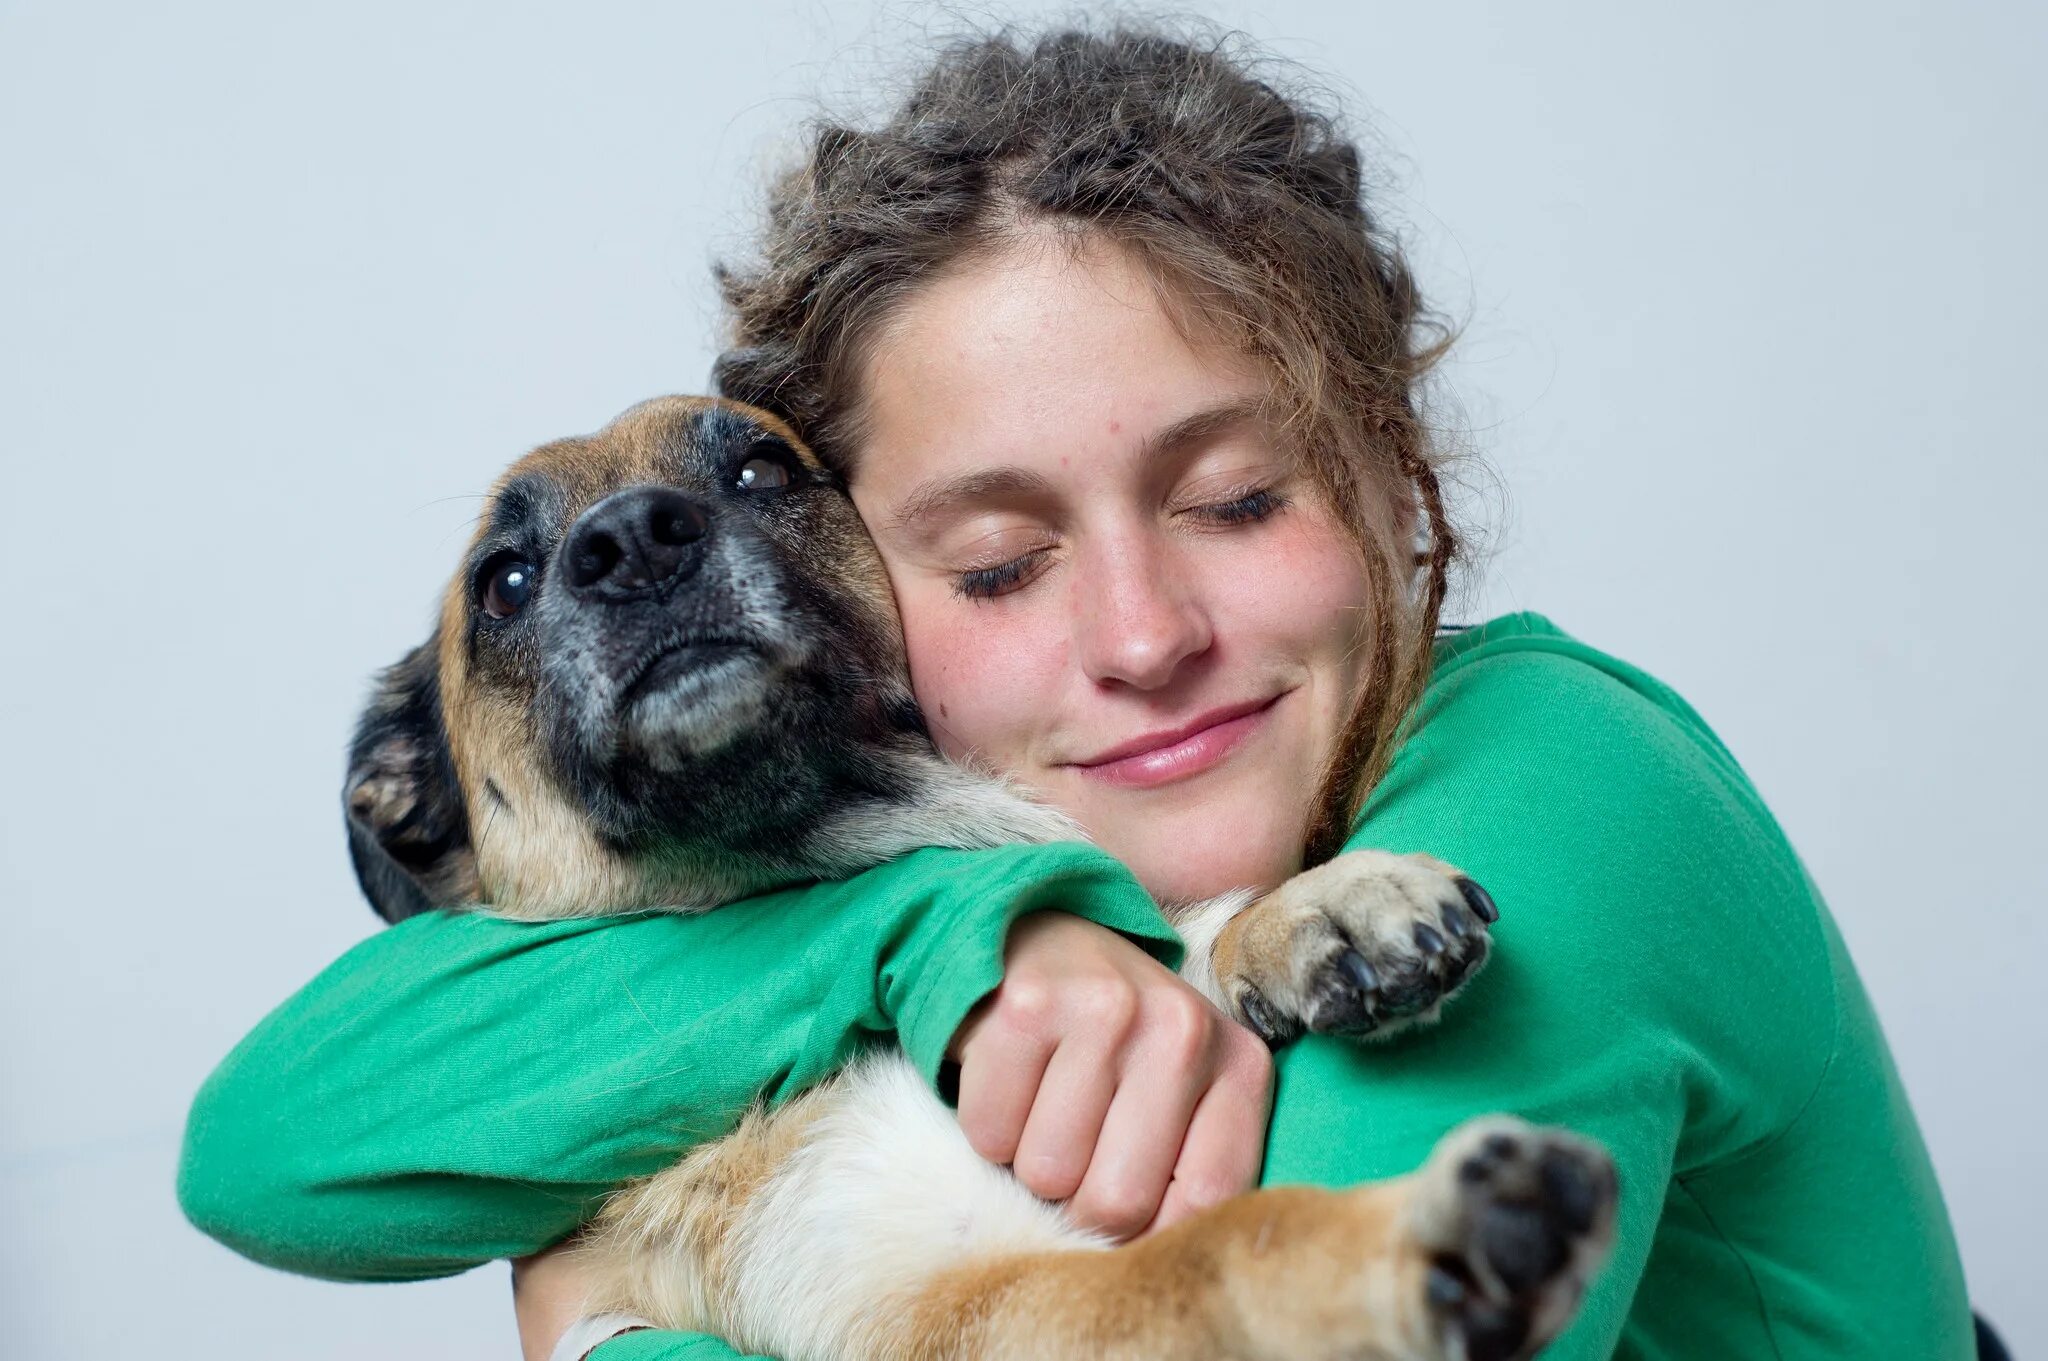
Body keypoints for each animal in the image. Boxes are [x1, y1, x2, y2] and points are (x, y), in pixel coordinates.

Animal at [339, 394, 1613, 1358]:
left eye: (760, 465)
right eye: (504, 581)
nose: (640, 540)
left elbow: (1187, 923)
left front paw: (1320, 908)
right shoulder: (951, 1314)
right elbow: (1221, 1244)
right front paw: (1411, 1239)